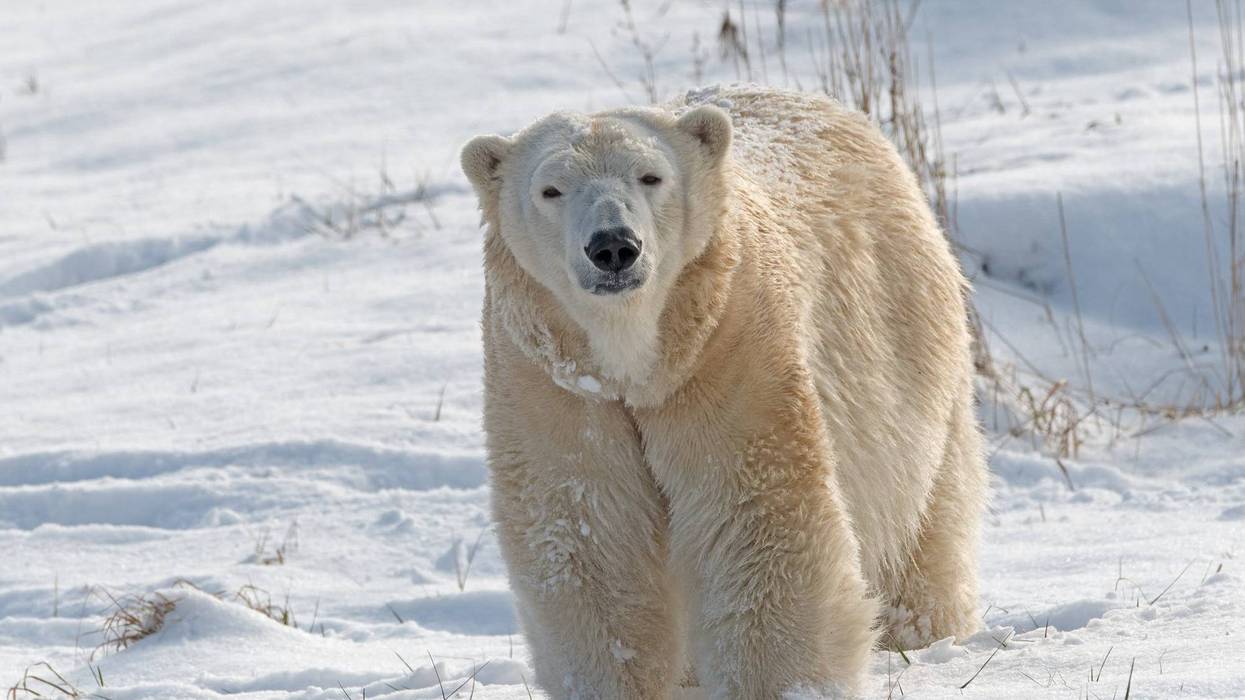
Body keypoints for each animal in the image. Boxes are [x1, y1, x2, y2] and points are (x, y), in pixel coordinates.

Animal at [460, 85, 987, 699]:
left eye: (650, 175)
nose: (614, 247)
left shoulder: (729, 346)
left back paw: (919, 630)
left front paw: (780, 685)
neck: (636, 361)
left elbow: (754, 507)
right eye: (551, 189)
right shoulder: (554, 381)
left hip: (904, 341)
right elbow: (589, 527)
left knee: (921, 511)